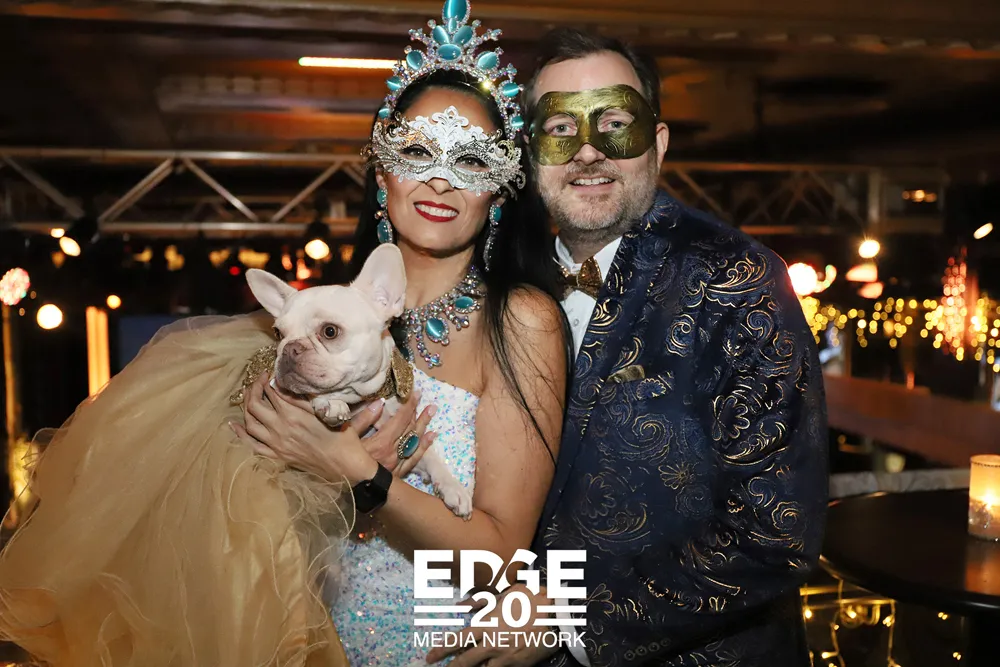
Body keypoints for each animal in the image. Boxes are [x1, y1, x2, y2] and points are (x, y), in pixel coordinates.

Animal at [243, 244, 473, 519]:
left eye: (330, 331)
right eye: (278, 333)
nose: (289, 348)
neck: (359, 398)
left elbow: (429, 455)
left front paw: (452, 487)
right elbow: (315, 393)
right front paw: (330, 404)